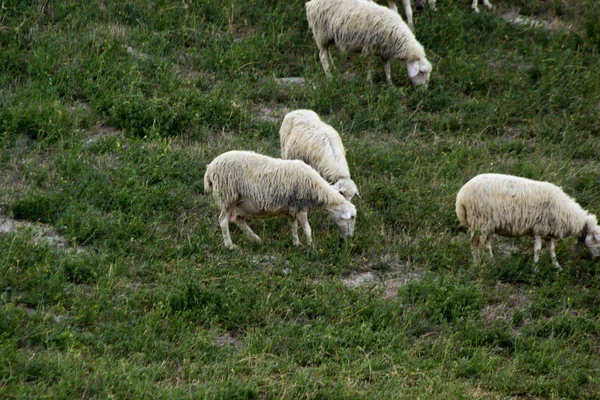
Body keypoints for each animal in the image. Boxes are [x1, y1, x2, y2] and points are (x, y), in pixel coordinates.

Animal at [204, 151, 358, 250]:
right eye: (352, 217)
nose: (350, 237)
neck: (318, 189)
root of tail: (210, 168)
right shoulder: (300, 206)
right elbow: (307, 229)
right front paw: (311, 247)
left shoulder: (292, 209)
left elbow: (294, 226)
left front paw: (297, 243)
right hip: (227, 196)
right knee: (223, 220)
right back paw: (230, 245)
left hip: (238, 203)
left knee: (238, 220)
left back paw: (256, 239)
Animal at [304, 0, 432, 86]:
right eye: (421, 72)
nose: (423, 90)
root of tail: (310, 4)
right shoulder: (369, 47)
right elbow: (370, 65)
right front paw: (369, 81)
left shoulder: (385, 52)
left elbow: (387, 68)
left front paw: (390, 84)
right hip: (321, 33)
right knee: (322, 57)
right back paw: (329, 77)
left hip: (329, 37)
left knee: (327, 53)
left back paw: (334, 69)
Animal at [454, 174, 600, 270]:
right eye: (598, 244)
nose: (597, 260)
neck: (568, 214)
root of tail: (461, 196)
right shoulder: (539, 229)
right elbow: (538, 250)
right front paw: (536, 269)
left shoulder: (547, 232)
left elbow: (552, 250)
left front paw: (557, 267)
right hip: (482, 221)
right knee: (484, 244)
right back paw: (491, 262)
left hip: (481, 224)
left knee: (475, 243)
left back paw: (477, 262)